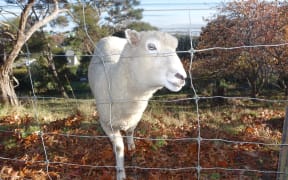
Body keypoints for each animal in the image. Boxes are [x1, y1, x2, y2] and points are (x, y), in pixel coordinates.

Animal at [88, 29, 187, 180]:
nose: (182, 77)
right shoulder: (106, 124)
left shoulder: (135, 117)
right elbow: (119, 147)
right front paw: (120, 172)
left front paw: (131, 146)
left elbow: (130, 131)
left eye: (175, 48)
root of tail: (110, 37)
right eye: (151, 46)